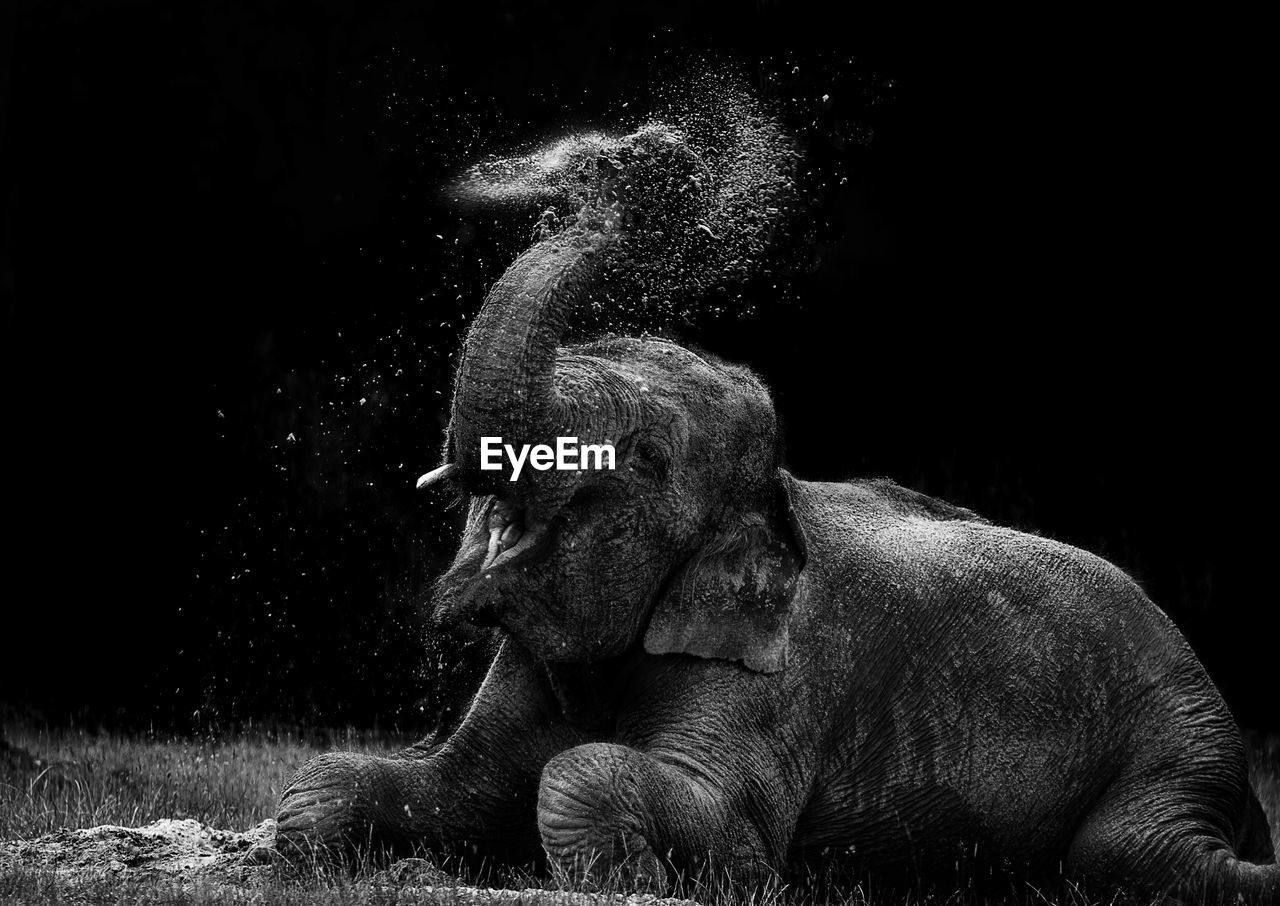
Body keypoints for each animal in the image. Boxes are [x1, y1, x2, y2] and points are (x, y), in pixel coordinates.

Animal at [267, 112, 1278, 903]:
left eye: (648, 457)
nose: (626, 157)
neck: (772, 492)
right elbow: (384, 782)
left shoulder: (783, 676)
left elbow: (658, 797)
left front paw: (674, 879)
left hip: (1177, 734)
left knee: (1132, 855)